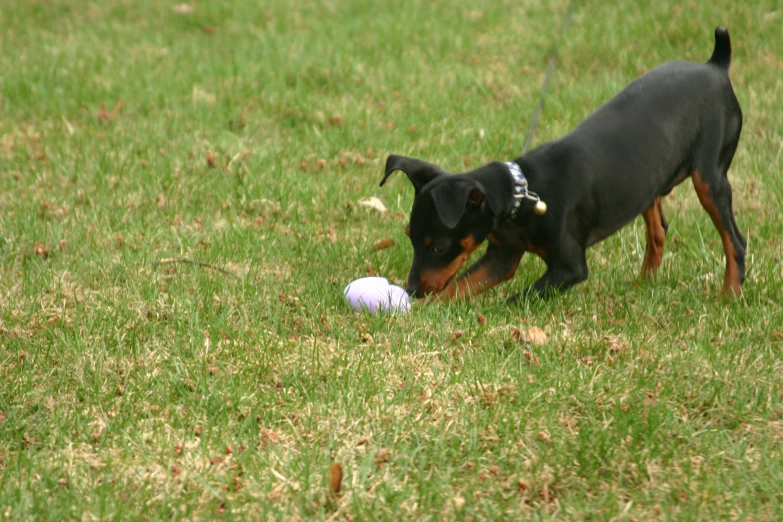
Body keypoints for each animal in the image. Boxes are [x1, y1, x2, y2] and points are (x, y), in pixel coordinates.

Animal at [380, 25, 748, 300]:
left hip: (709, 178)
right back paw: (643, 284)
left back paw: (729, 296)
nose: (411, 290)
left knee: (735, 240)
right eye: (409, 236)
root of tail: (715, 65)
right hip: (648, 179)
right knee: (658, 229)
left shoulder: (568, 268)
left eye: (438, 248)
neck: (523, 193)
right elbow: (457, 287)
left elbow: (518, 299)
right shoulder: (501, 257)